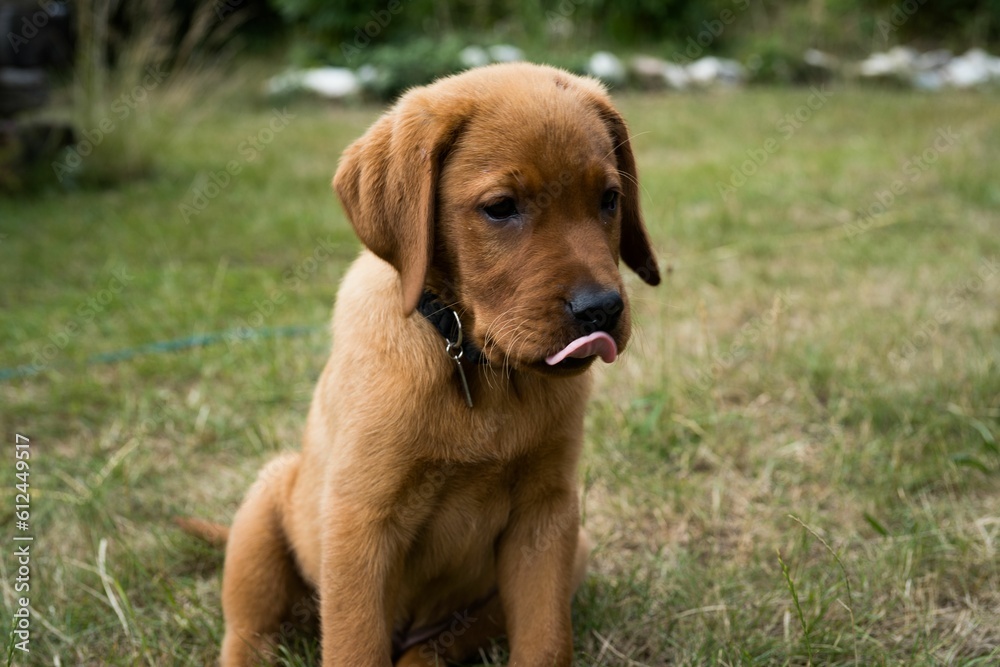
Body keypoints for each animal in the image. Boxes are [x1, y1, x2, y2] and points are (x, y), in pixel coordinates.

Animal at [217, 60, 656, 664]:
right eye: (501, 208)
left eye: (610, 199)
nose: (602, 310)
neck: (478, 369)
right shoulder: (359, 524)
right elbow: (355, 645)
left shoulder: (546, 515)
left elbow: (545, 639)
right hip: (263, 509)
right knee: (248, 632)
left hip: (573, 549)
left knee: (439, 643)